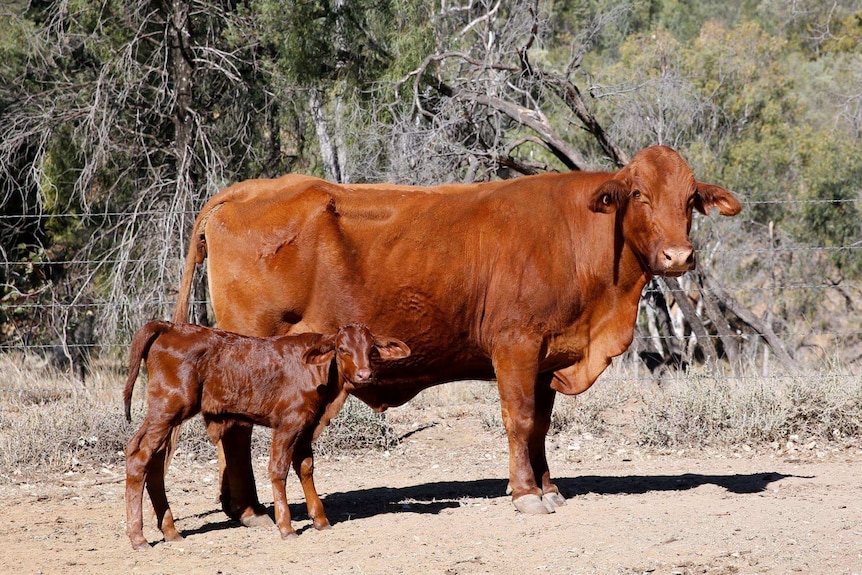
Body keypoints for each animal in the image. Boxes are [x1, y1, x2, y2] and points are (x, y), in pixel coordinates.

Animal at [120, 322, 412, 552]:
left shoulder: (306, 426)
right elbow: (278, 469)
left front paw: (320, 520)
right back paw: (138, 538)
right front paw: (286, 526)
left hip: (167, 415)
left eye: (371, 349)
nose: (365, 374)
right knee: (138, 455)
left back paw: (170, 531)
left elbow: (305, 467)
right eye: (342, 349)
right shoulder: (288, 423)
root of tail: (170, 326)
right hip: (167, 408)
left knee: (155, 461)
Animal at [170, 145, 744, 520]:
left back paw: (243, 506)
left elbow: (540, 427)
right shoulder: (515, 346)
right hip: (251, 347)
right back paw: (249, 509)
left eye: (690, 199)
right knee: (233, 426)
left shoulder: (547, 357)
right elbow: (519, 420)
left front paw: (549, 487)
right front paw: (525, 494)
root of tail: (247, 189)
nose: (679, 256)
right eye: (640, 195)